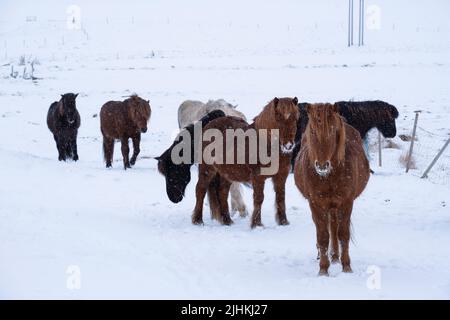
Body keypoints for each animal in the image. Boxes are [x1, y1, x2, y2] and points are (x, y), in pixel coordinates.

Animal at [192, 97, 298, 228]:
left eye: (295, 118)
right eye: (278, 117)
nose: (288, 145)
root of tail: (209, 125)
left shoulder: (281, 177)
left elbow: (281, 197)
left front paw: (283, 222)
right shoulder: (258, 177)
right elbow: (259, 198)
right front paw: (257, 224)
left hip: (227, 173)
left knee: (222, 192)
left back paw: (227, 221)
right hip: (207, 169)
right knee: (200, 190)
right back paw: (198, 220)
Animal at [294, 103, 370, 276]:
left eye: (333, 130)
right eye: (313, 131)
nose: (322, 166)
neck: (328, 176)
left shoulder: (346, 203)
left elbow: (343, 234)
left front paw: (346, 266)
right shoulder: (316, 204)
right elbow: (322, 236)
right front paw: (323, 269)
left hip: (335, 206)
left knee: (335, 227)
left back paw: (335, 256)